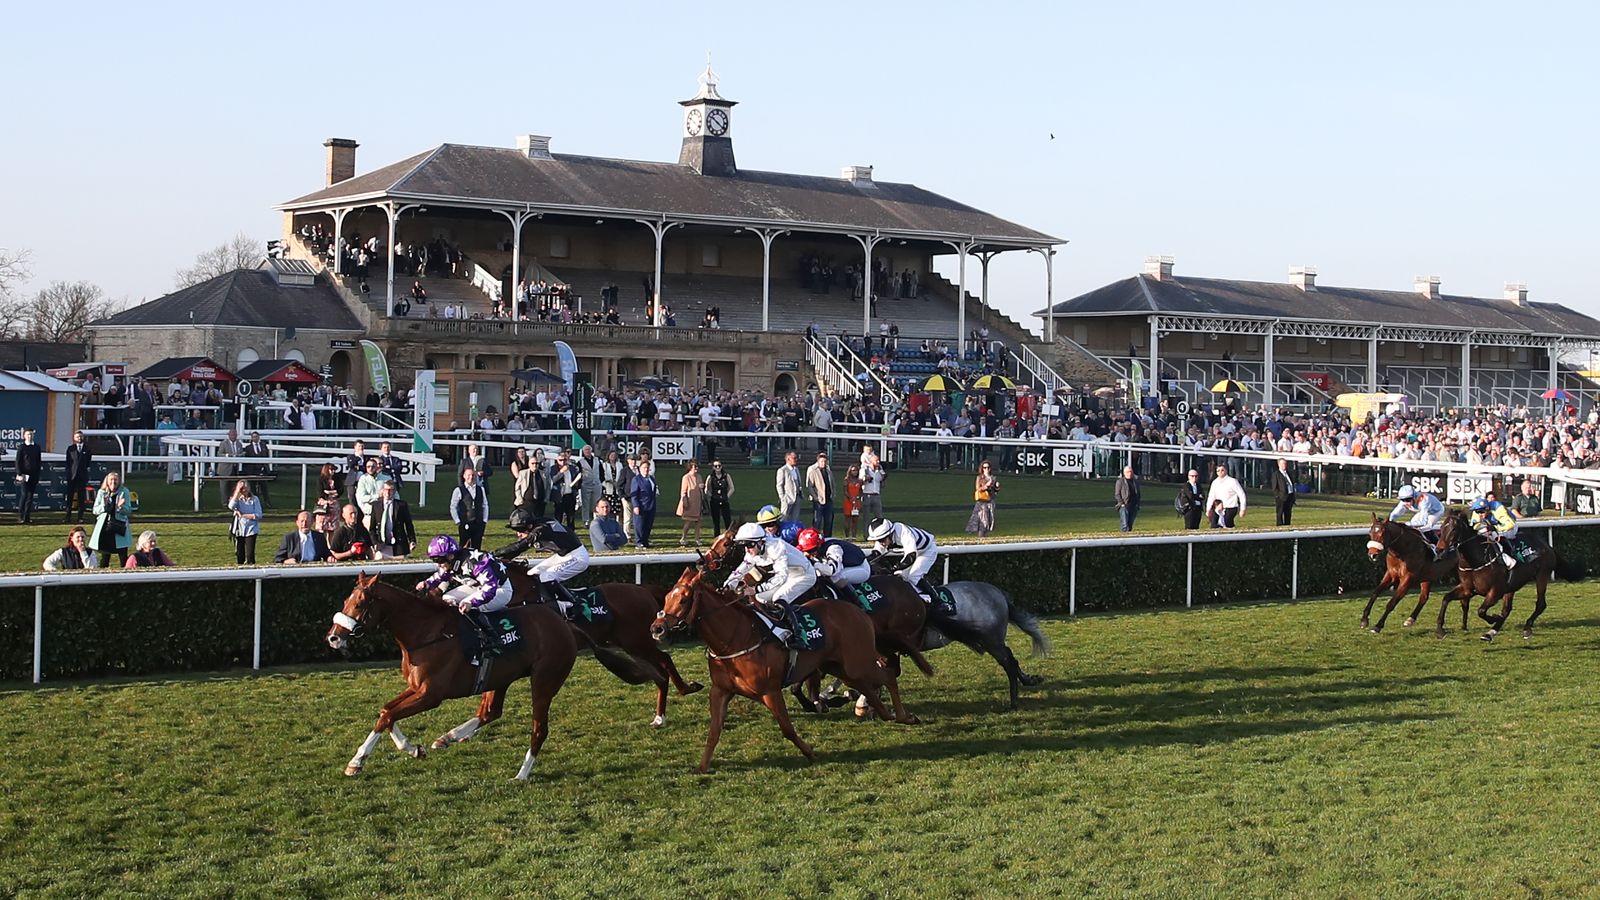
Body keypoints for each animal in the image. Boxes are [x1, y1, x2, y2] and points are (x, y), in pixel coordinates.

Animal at [323, 573, 576, 778]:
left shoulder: (430, 695)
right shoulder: (416, 688)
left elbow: (389, 715)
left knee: (539, 729)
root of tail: (562, 622)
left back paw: (522, 774)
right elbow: (386, 712)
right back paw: (449, 737)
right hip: (500, 678)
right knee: (490, 712)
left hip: (544, 681)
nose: (333, 638)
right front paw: (408, 750)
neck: (427, 633)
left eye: (360, 604)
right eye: (345, 601)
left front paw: (363, 760)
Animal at [499, 560, 700, 730]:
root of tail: (643, 590)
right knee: (660, 672)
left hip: (638, 642)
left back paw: (684, 690)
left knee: (665, 660)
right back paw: (660, 716)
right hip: (633, 646)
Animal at [649, 557, 921, 768]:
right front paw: (702, 767)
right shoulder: (720, 691)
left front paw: (810, 752)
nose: (657, 629)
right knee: (869, 687)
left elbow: (787, 729)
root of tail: (858, 611)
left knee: (887, 675)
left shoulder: (769, 691)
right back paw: (882, 712)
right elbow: (714, 731)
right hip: (841, 667)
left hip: (857, 662)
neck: (736, 638)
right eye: (666, 597)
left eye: (684, 600)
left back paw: (903, 716)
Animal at [1440, 509, 1587, 640]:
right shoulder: (1468, 589)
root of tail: (1547, 546)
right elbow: (1447, 598)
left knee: (1540, 604)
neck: (1476, 560)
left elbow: (1481, 611)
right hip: (1512, 586)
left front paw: (1493, 618)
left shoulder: (1495, 591)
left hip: (1542, 575)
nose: (1439, 549)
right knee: (1507, 609)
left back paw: (1526, 627)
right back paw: (1491, 632)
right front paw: (1441, 630)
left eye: (1453, 529)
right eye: (1441, 528)